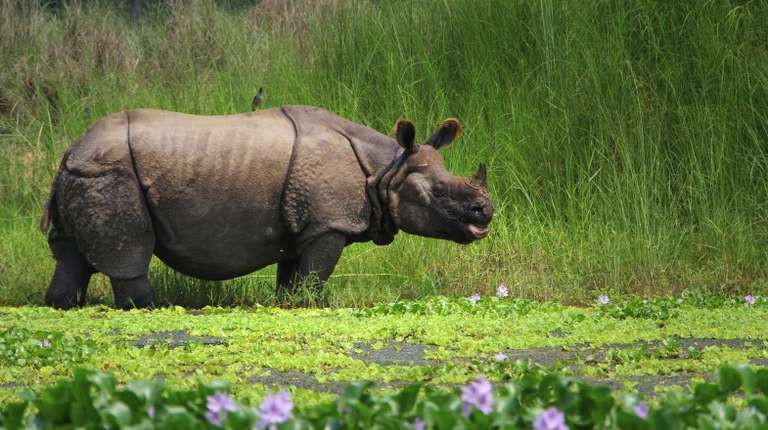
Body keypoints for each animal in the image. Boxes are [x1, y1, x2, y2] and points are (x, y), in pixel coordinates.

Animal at [40, 106, 494, 309]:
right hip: (112, 174)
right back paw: (150, 309)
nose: (485, 213)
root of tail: (69, 151)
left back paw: (61, 305)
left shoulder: (304, 226)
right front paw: (313, 306)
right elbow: (315, 278)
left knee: (70, 257)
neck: (386, 168)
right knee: (129, 256)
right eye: (440, 194)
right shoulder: (328, 224)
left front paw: (290, 305)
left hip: (85, 174)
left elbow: (293, 279)